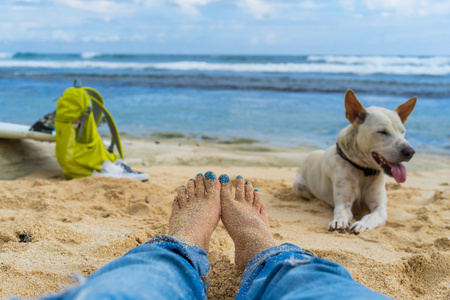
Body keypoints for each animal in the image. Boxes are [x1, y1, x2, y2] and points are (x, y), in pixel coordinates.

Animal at [294, 90, 416, 233]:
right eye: (382, 132)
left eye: (402, 132)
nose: (410, 151)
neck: (364, 170)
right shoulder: (344, 202)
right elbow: (341, 211)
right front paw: (338, 221)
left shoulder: (379, 207)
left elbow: (373, 215)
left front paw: (362, 224)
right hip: (299, 187)